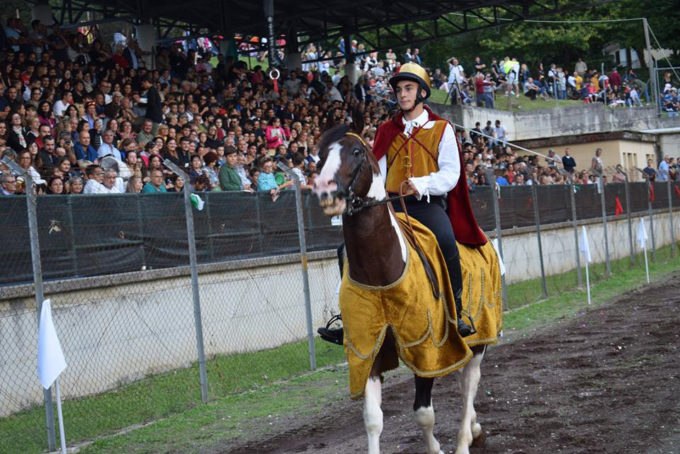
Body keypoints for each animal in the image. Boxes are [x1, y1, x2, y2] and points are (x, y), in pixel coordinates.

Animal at [310, 124, 502, 454]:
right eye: (321, 155)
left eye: (356, 151)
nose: (325, 188)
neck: (380, 269)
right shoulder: (366, 349)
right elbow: (373, 419)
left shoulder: (425, 345)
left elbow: (424, 413)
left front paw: (436, 448)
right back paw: (476, 431)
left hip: (480, 339)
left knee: (469, 385)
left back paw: (465, 440)